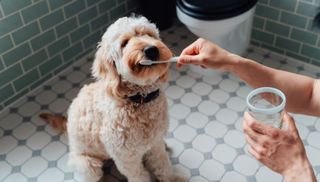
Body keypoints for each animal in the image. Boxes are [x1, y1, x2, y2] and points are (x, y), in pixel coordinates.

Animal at [40, 16, 186, 182]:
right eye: (124, 43)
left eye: (149, 35)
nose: (151, 49)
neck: (138, 99)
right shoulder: (127, 158)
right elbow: (139, 176)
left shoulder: (155, 144)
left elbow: (163, 164)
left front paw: (173, 178)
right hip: (88, 165)